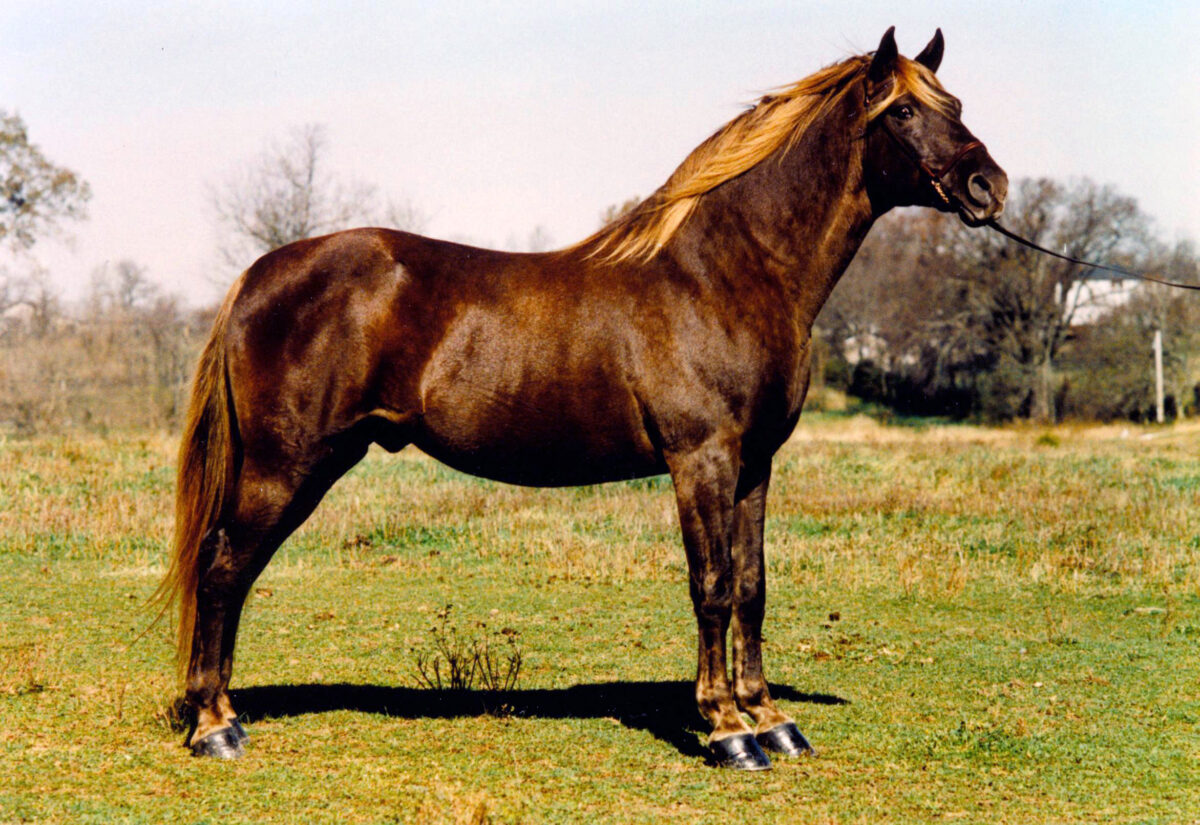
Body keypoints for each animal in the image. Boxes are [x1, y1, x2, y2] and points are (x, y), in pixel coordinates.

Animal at [159, 27, 1006, 770]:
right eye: (903, 111)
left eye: (957, 101)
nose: (987, 185)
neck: (723, 273)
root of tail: (260, 273)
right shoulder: (701, 461)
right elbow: (711, 586)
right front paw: (728, 730)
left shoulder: (755, 464)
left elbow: (753, 586)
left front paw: (772, 719)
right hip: (287, 464)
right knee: (224, 566)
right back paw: (215, 726)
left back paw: (221, 714)